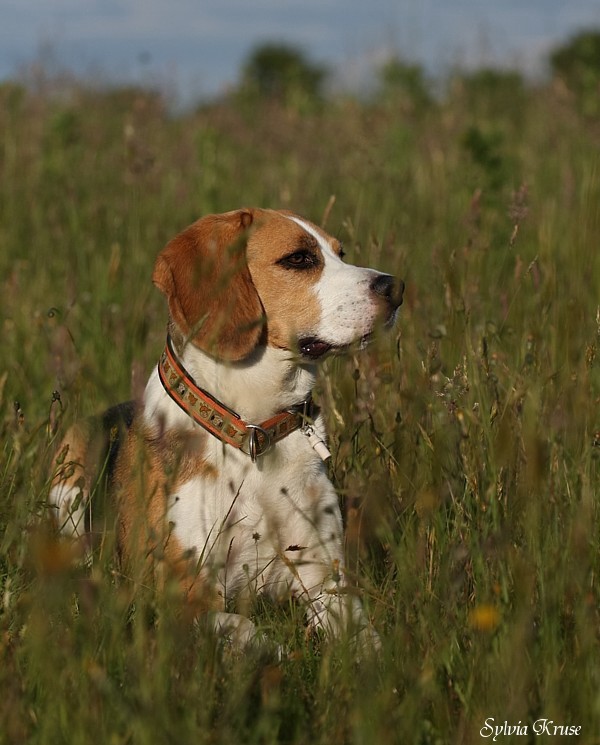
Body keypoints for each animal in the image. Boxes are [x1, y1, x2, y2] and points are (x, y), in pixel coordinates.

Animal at [50, 206, 404, 648]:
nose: (396, 288)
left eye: (341, 253)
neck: (255, 432)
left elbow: (368, 640)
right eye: (299, 259)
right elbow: (248, 630)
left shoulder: (326, 579)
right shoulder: (180, 593)